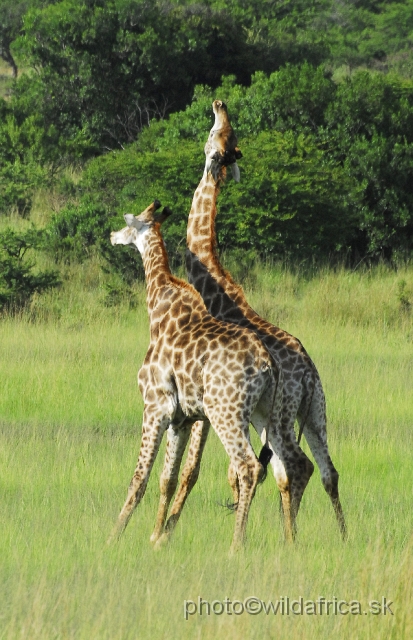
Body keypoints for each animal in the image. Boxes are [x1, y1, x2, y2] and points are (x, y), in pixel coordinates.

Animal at [159, 100, 346, 540]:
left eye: (214, 137)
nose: (219, 104)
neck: (213, 275)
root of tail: (308, 375)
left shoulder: (206, 402)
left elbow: (196, 469)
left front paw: (166, 533)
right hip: (315, 413)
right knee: (326, 471)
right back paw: (337, 537)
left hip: (278, 417)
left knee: (292, 467)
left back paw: (288, 539)